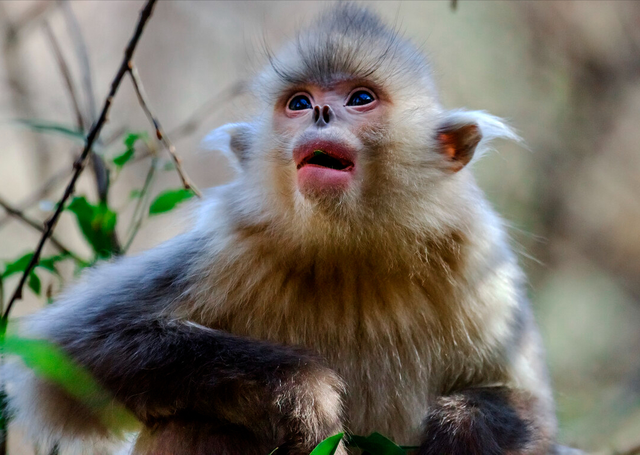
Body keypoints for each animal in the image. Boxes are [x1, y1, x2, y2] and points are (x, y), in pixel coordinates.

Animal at [5, 3, 564, 455]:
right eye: (298, 103)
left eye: (360, 98)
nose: (320, 112)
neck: (350, 251)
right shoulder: (229, 241)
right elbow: (70, 353)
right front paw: (300, 394)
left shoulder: (474, 253)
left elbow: (534, 411)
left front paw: (458, 432)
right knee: (196, 421)